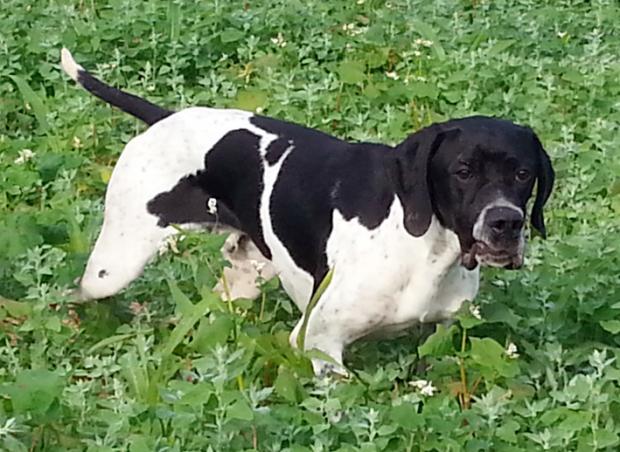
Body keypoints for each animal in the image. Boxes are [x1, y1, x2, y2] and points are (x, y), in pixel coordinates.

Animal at [60, 48, 556, 374]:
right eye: (463, 171)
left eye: (522, 173)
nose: (506, 222)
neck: (426, 250)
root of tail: (166, 118)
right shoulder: (319, 343)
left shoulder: (450, 331)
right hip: (112, 268)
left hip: (245, 275)